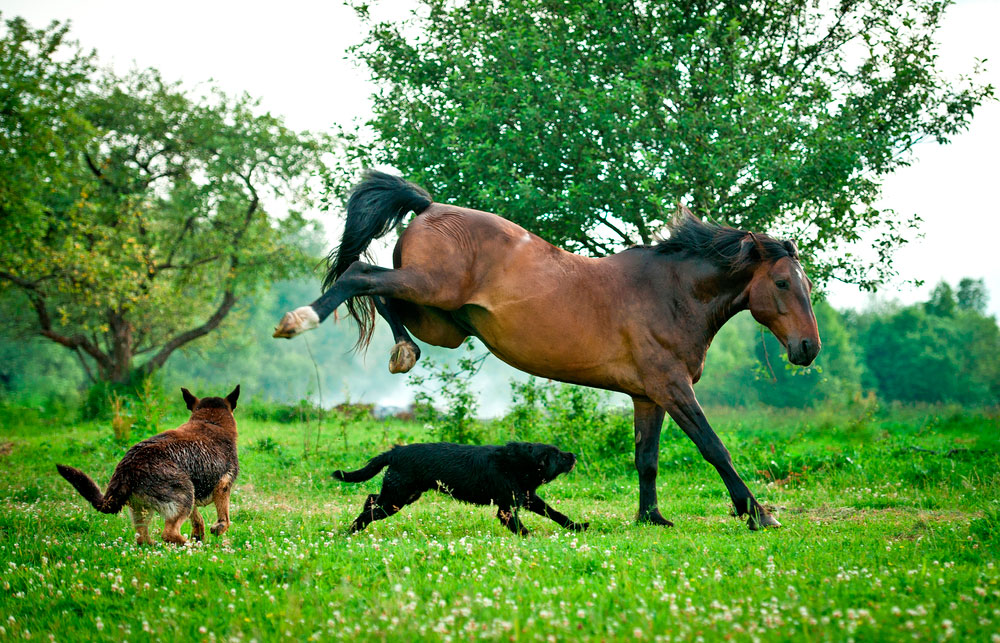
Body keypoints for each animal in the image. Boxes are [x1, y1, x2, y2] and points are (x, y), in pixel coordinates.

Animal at [56, 384, 240, 544]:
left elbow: (197, 519)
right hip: (184, 495)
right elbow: (225, 518)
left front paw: (199, 534)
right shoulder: (223, 487)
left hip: (146, 508)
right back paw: (191, 546)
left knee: (142, 538)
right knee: (169, 533)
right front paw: (217, 529)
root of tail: (127, 468)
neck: (211, 421)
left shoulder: (195, 498)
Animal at [332, 442, 588, 532]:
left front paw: (577, 527)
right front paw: (531, 539)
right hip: (396, 498)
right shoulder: (506, 508)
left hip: (402, 495)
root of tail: (395, 452)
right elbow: (520, 527)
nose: (573, 455)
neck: (518, 463)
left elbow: (555, 513)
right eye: (558, 455)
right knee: (368, 511)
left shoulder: (527, 498)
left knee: (370, 498)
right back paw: (352, 531)